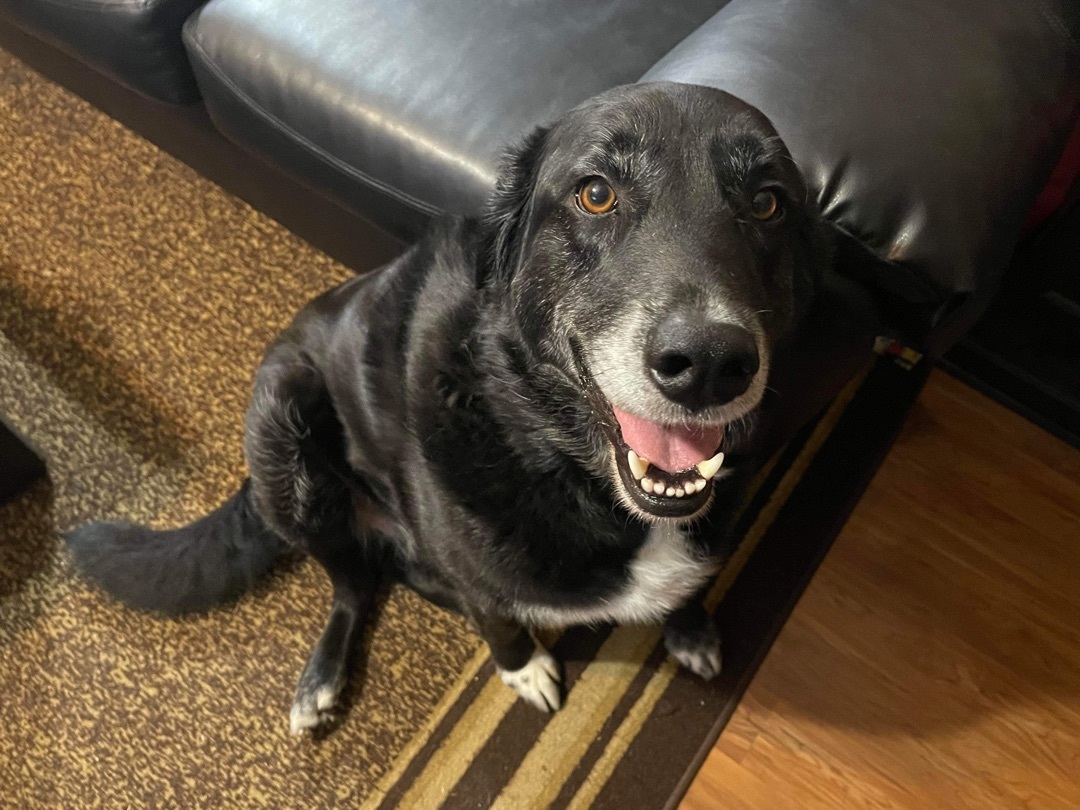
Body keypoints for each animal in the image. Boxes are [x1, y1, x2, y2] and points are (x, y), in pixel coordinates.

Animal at [69, 84, 825, 734]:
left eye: (768, 204)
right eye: (596, 194)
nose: (708, 364)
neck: (548, 449)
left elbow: (695, 581)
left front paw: (690, 628)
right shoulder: (481, 579)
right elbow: (495, 618)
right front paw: (524, 668)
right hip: (287, 443)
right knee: (352, 581)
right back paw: (321, 681)